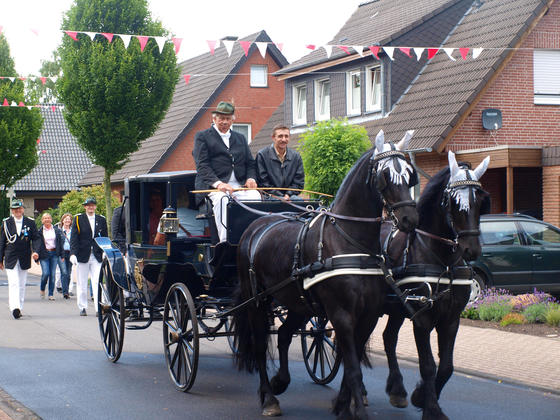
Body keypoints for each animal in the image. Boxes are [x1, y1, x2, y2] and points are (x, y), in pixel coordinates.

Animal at [232, 130, 420, 418]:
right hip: (257, 301)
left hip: (298, 303)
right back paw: (269, 399)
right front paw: (357, 410)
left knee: (284, 335)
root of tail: (257, 223)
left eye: (410, 174)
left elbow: (350, 363)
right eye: (385, 176)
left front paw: (343, 405)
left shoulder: (368, 315)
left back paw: (280, 382)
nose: (410, 219)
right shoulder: (341, 315)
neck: (349, 241)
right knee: (261, 344)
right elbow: (352, 368)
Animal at [382, 151, 488, 420]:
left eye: (481, 201)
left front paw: (421, 396)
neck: (444, 262)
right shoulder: (422, 318)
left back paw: (397, 390)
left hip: (396, 310)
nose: (471, 250)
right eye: (453, 202)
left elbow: (447, 366)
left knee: (388, 338)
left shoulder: (451, 319)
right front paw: (431, 408)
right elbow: (428, 365)